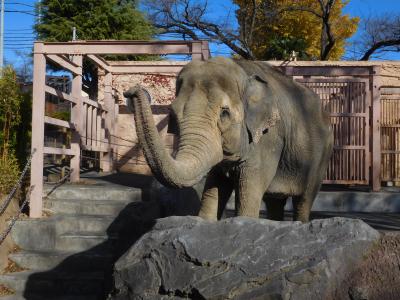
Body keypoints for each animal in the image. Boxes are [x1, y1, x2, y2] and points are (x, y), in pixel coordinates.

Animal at [123, 56, 332, 223]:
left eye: (224, 113)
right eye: (173, 113)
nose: (130, 91)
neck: (242, 69)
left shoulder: (270, 137)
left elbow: (250, 185)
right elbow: (215, 183)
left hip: (320, 160)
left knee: (304, 200)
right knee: (274, 201)